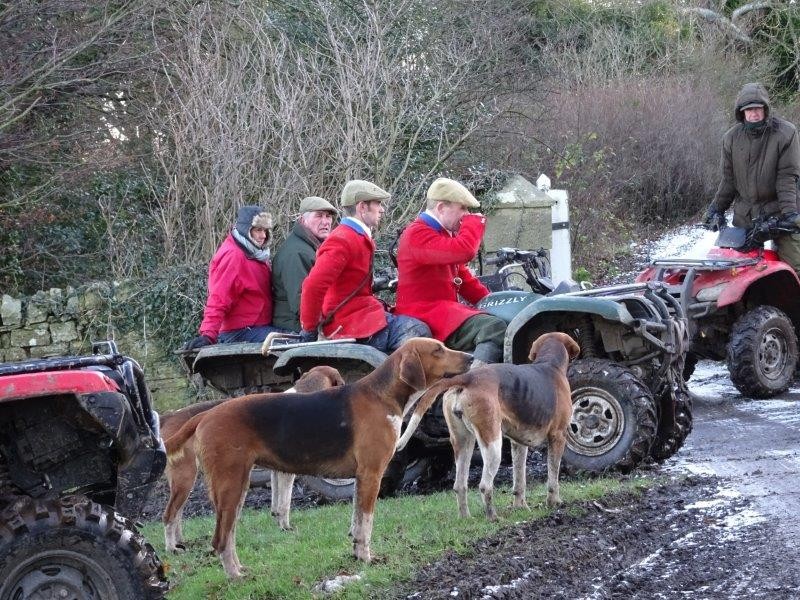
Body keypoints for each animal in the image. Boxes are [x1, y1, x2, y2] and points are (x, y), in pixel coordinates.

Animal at [160, 365, 344, 552]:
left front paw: (278, 523)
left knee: (177, 515)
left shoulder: (276, 471)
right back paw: (172, 548)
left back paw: (181, 543)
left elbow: (276, 504)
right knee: (169, 515)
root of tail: (169, 416)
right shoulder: (287, 473)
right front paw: (286, 528)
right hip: (187, 478)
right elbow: (285, 504)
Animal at [396, 332, 580, 521]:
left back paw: (466, 518)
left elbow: (519, 480)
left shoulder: (518, 444)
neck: (550, 364)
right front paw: (554, 503)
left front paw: (520, 507)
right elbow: (553, 477)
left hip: (463, 442)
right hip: (493, 445)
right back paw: (493, 517)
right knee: (485, 485)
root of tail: (468, 377)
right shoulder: (558, 436)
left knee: (460, 485)